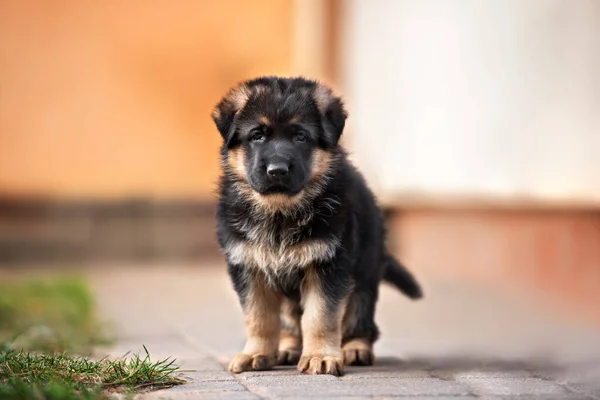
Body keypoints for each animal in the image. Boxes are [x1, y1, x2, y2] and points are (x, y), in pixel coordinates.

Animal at [212, 76, 422, 376]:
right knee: (290, 322)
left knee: (360, 317)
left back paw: (356, 348)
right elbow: (259, 317)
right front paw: (256, 354)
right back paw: (286, 348)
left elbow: (320, 316)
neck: (280, 212)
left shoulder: (329, 265)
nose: (277, 170)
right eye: (257, 135)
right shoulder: (249, 266)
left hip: (364, 274)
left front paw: (320, 357)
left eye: (300, 137)